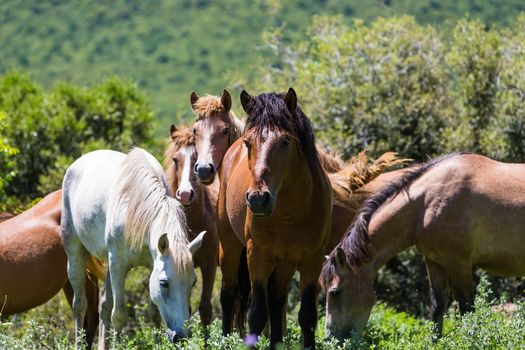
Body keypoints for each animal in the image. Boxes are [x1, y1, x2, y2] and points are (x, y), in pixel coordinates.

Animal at [59, 148, 203, 348]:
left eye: (193, 282)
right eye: (164, 283)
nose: (181, 337)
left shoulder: (150, 265)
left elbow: (153, 314)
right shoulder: (118, 264)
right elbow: (119, 315)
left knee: (104, 304)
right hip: (75, 254)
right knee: (80, 305)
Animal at [217, 89, 332, 348]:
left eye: (285, 141)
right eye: (248, 142)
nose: (258, 199)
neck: (289, 214)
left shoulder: (312, 260)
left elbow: (307, 317)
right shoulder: (257, 256)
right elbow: (257, 315)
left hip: (284, 263)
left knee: (277, 300)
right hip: (229, 246)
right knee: (228, 294)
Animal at [320, 152, 525, 340]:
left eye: (334, 292)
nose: (330, 338)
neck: (426, 203)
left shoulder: (459, 265)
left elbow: (467, 309)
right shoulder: (434, 262)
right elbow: (438, 307)